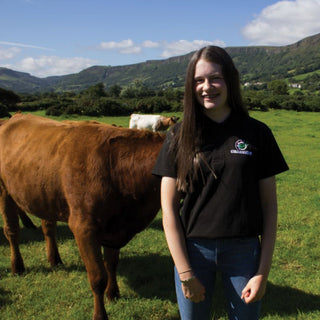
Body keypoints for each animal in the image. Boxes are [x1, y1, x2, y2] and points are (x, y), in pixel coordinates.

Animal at [0, 114, 165, 318]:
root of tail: (15, 117)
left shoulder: (115, 227)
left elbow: (111, 263)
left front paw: (113, 294)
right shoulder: (83, 228)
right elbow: (98, 277)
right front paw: (100, 315)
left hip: (45, 193)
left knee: (48, 227)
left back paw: (54, 260)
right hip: (4, 191)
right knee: (12, 231)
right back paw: (18, 267)